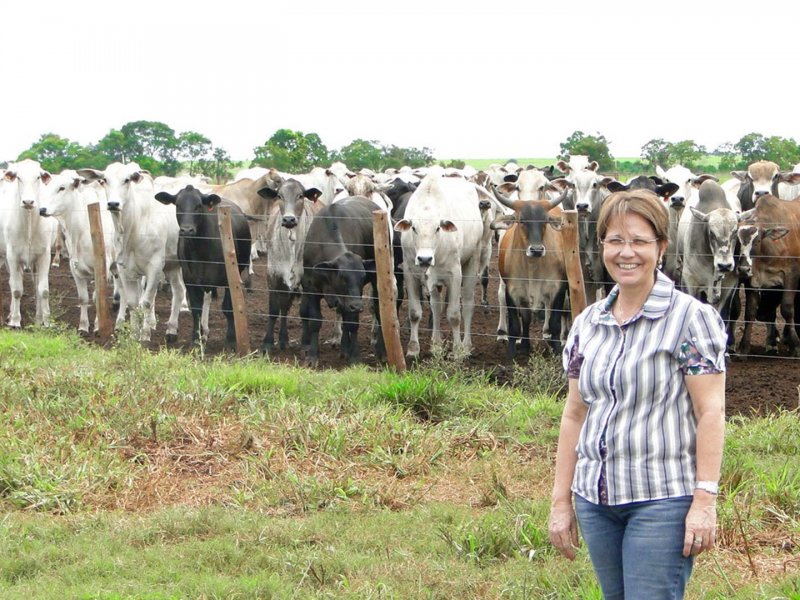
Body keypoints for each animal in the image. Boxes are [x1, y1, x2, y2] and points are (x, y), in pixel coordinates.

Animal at [0, 159, 57, 328]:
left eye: (38, 177)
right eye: (19, 177)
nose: (28, 201)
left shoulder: (44, 255)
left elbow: (43, 290)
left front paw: (46, 321)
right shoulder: (12, 255)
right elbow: (17, 290)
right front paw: (15, 321)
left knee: (36, 285)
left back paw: (38, 318)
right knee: (12, 283)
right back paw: (11, 314)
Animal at [38, 171, 120, 336]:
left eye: (62, 188)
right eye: (47, 187)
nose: (42, 209)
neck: (79, 231)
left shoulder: (101, 269)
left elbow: (98, 297)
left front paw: (97, 326)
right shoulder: (75, 269)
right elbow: (83, 298)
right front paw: (83, 326)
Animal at [78, 164, 184, 342]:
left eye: (127, 180)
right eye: (104, 180)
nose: (113, 203)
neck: (134, 228)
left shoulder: (155, 267)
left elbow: (147, 302)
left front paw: (145, 336)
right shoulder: (125, 269)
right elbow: (133, 303)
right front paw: (134, 336)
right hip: (173, 266)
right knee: (179, 291)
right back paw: (171, 330)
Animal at [300, 197, 382, 366]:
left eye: (363, 277)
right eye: (342, 277)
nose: (357, 306)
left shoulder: (354, 297)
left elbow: (353, 324)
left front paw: (355, 356)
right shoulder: (311, 288)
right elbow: (315, 321)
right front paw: (312, 356)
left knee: (377, 311)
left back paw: (380, 351)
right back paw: (344, 349)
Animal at [396, 175, 488, 360]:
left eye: (438, 228)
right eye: (414, 228)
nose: (424, 258)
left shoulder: (455, 275)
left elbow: (454, 315)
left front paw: (458, 350)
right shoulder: (410, 273)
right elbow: (415, 313)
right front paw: (413, 349)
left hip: (472, 261)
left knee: (468, 304)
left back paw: (466, 345)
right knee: (436, 306)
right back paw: (436, 344)